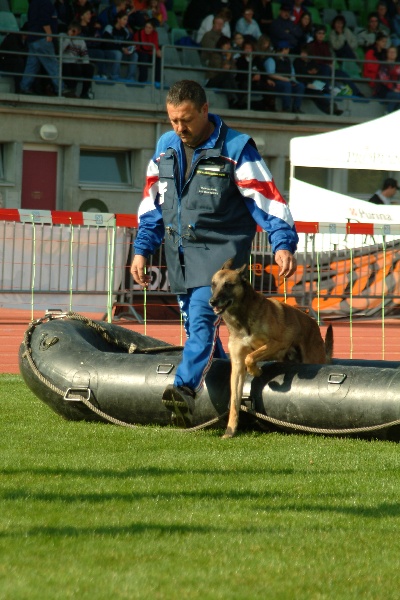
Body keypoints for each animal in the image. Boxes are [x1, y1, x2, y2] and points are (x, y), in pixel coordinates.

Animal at [209, 260, 334, 438]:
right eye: (213, 285)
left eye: (228, 285)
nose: (212, 301)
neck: (242, 318)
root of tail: (314, 325)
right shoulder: (237, 366)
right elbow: (234, 401)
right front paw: (230, 430)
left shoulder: (276, 343)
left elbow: (251, 357)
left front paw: (256, 371)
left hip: (311, 359)